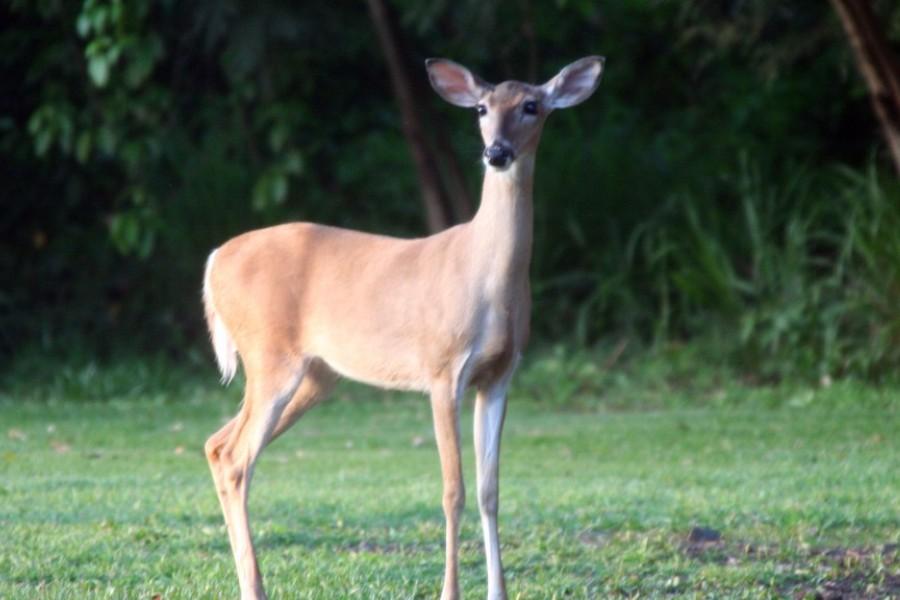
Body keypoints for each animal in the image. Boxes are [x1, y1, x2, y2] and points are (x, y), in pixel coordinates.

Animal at [204, 56, 604, 600]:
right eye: (481, 109)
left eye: (531, 106)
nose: (496, 152)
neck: (486, 275)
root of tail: (215, 261)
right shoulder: (442, 368)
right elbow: (453, 490)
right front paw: (450, 591)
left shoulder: (501, 374)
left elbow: (490, 490)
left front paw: (498, 591)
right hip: (270, 357)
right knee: (236, 457)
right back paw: (255, 588)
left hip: (315, 374)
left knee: (217, 445)